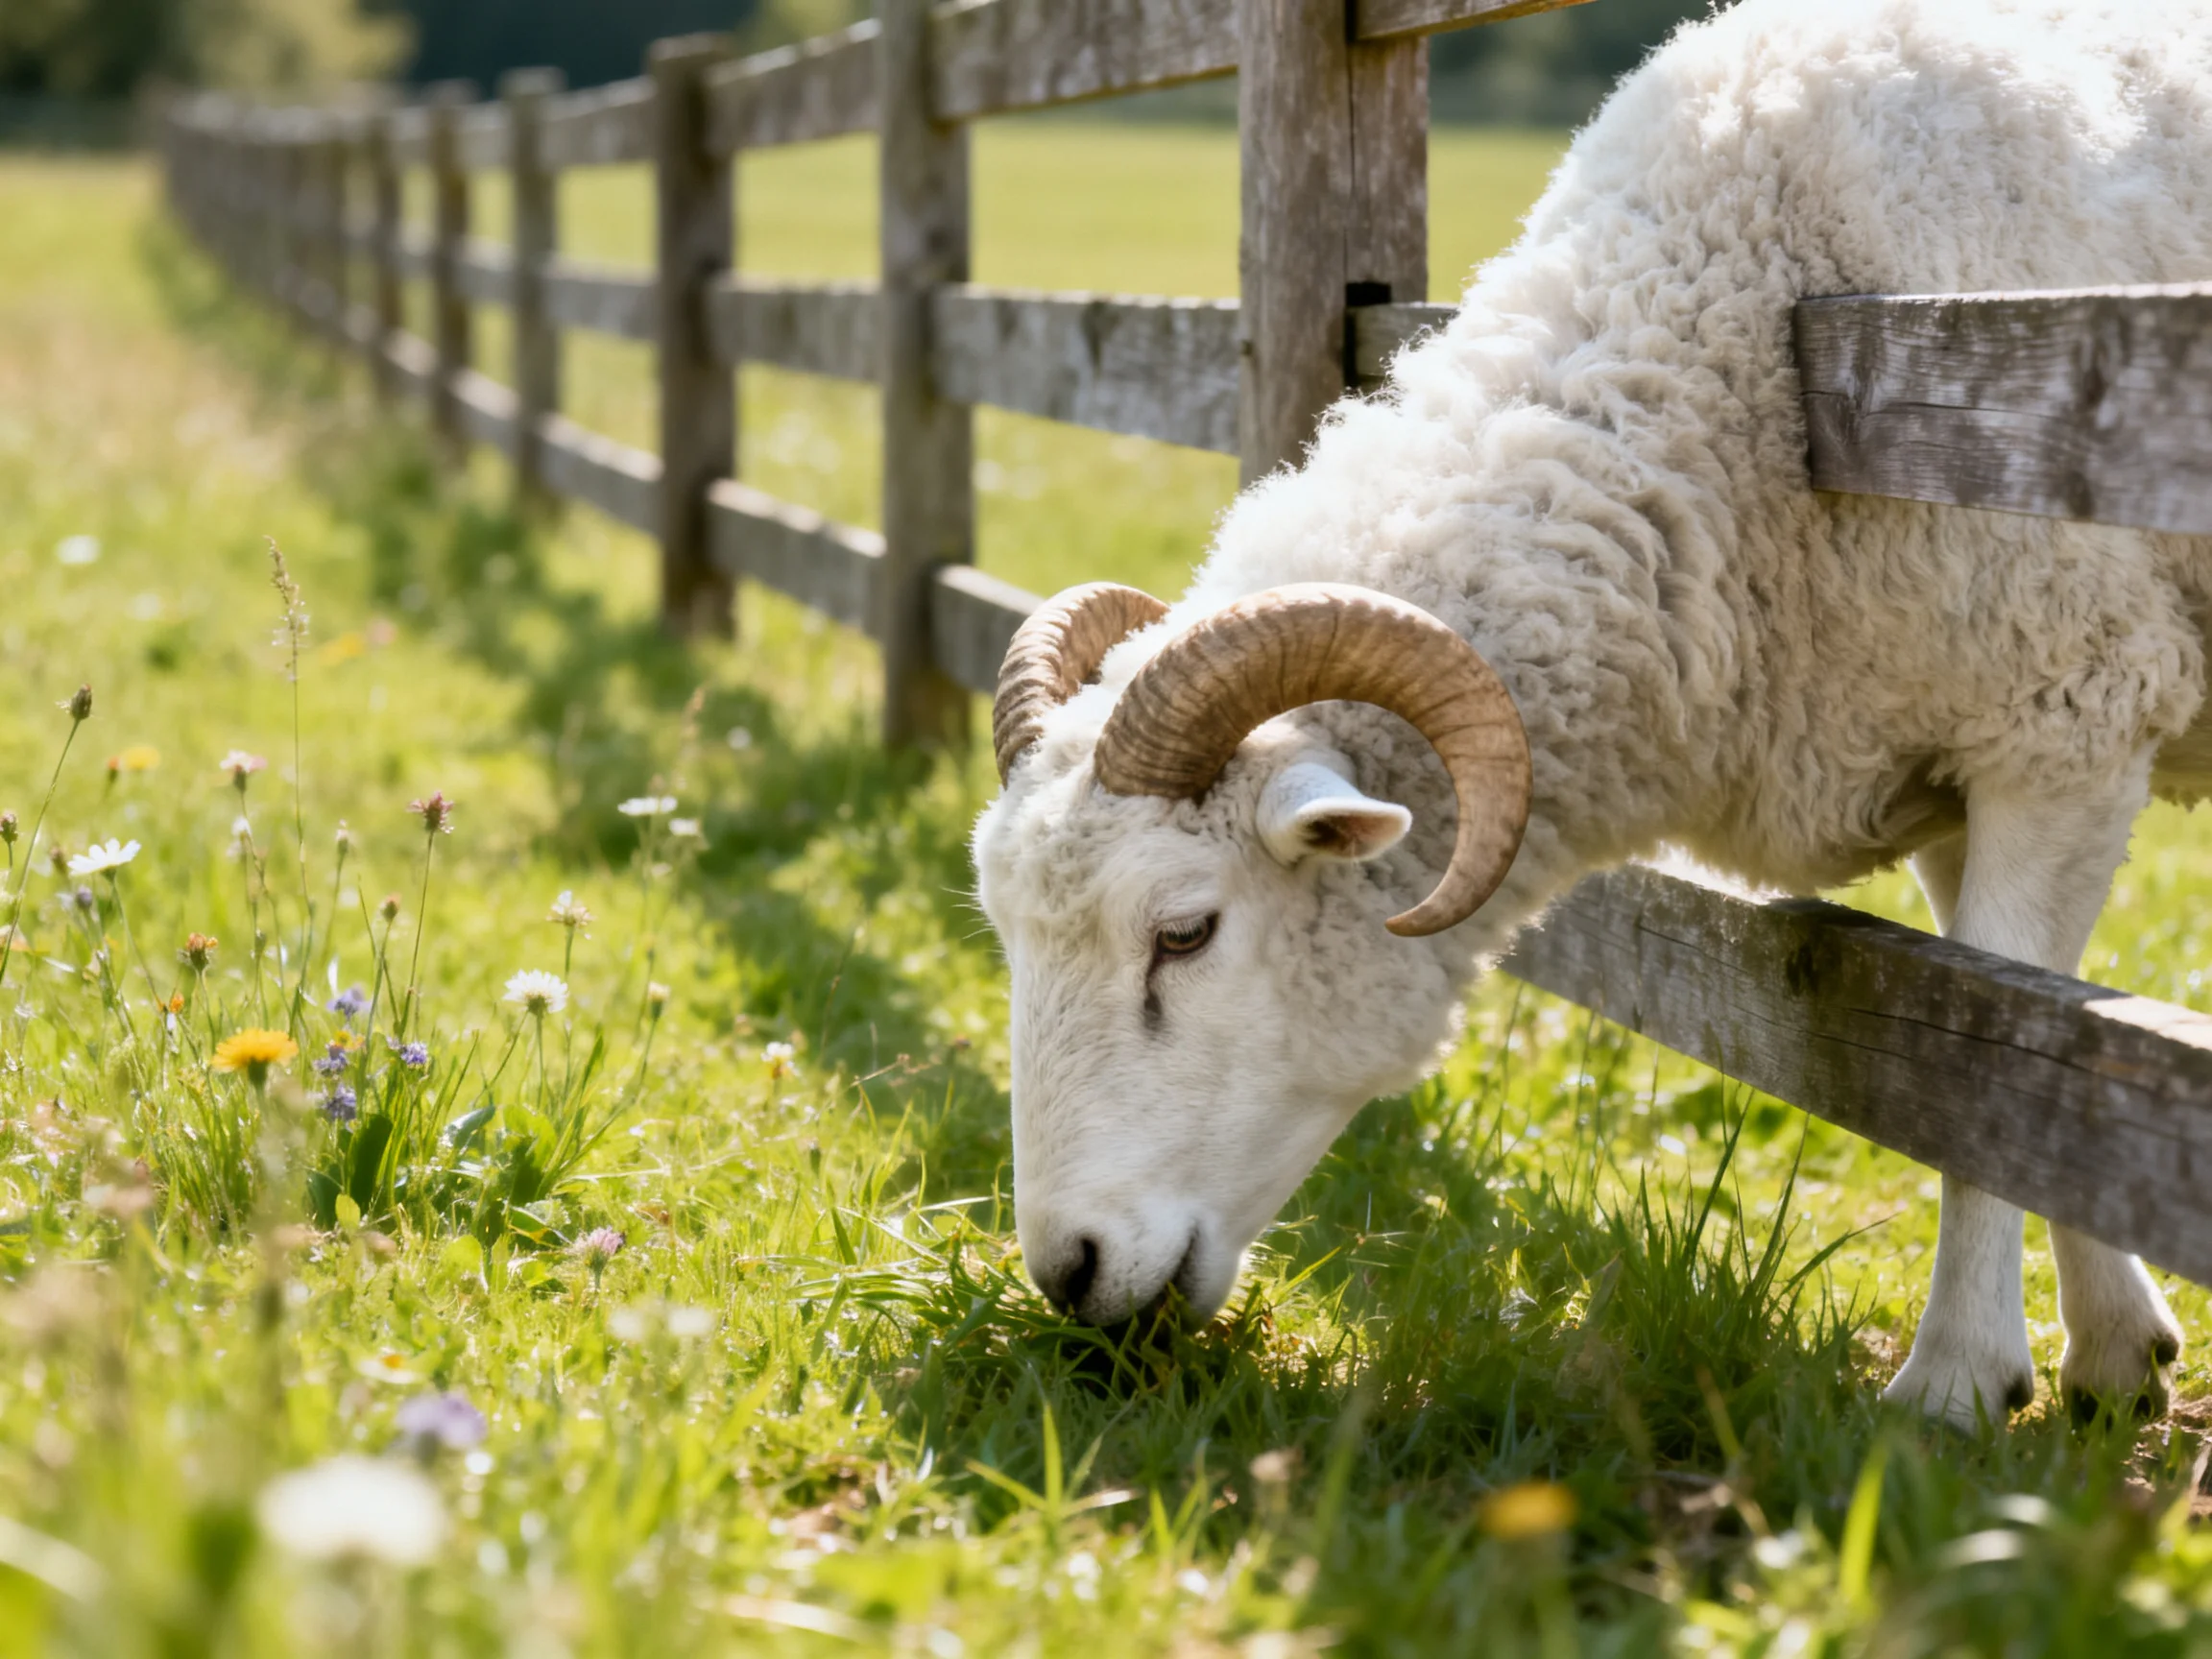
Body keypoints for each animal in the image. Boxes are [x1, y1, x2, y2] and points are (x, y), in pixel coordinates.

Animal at [972, 0, 2212, 1430]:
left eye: (1185, 934)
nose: (1068, 1270)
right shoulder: (1973, 765)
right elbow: (2032, 1023)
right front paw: (2117, 1347)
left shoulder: (2065, 717)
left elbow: (1990, 1080)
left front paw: (1954, 1383)